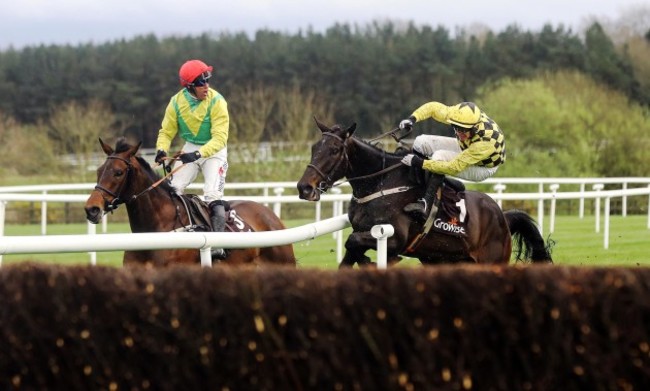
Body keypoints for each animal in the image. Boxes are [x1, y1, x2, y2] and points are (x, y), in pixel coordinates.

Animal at [296, 118, 548, 270]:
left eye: (334, 150)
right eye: (314, 148)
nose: (304, 187)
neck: (380, 182)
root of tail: (503, 218)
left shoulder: (394, 237)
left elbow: (353, 241)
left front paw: (377, 261)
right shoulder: (363, 232)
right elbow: (350, 250)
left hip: (491, 259)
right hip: (443, 260)